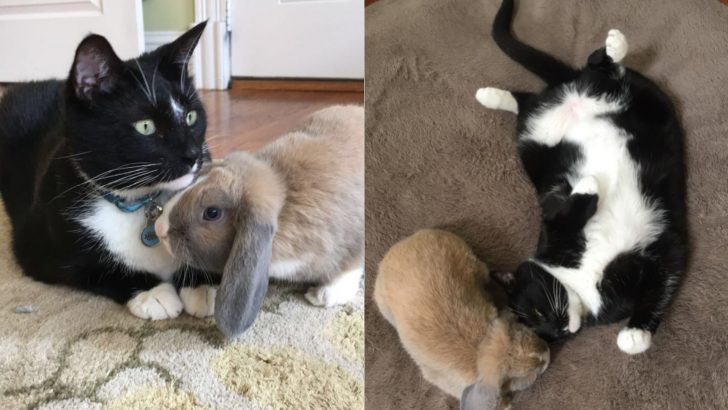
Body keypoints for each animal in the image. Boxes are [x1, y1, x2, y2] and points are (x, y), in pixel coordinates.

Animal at [0, 21, 219, 320]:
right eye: (146, 126)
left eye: (191, 116)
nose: (193, 154)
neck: (139, 200)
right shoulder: (36, 246)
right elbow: (91, 269)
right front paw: (154, 293)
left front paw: (203, 283)